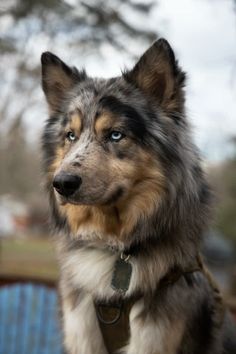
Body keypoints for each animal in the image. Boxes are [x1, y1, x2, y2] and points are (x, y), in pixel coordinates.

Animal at [40, 39, 236, 354]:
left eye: (115, 135)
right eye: (71, 135)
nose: (62, 183)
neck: (115, 245)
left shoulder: (154, 337)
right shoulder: (82, 330)